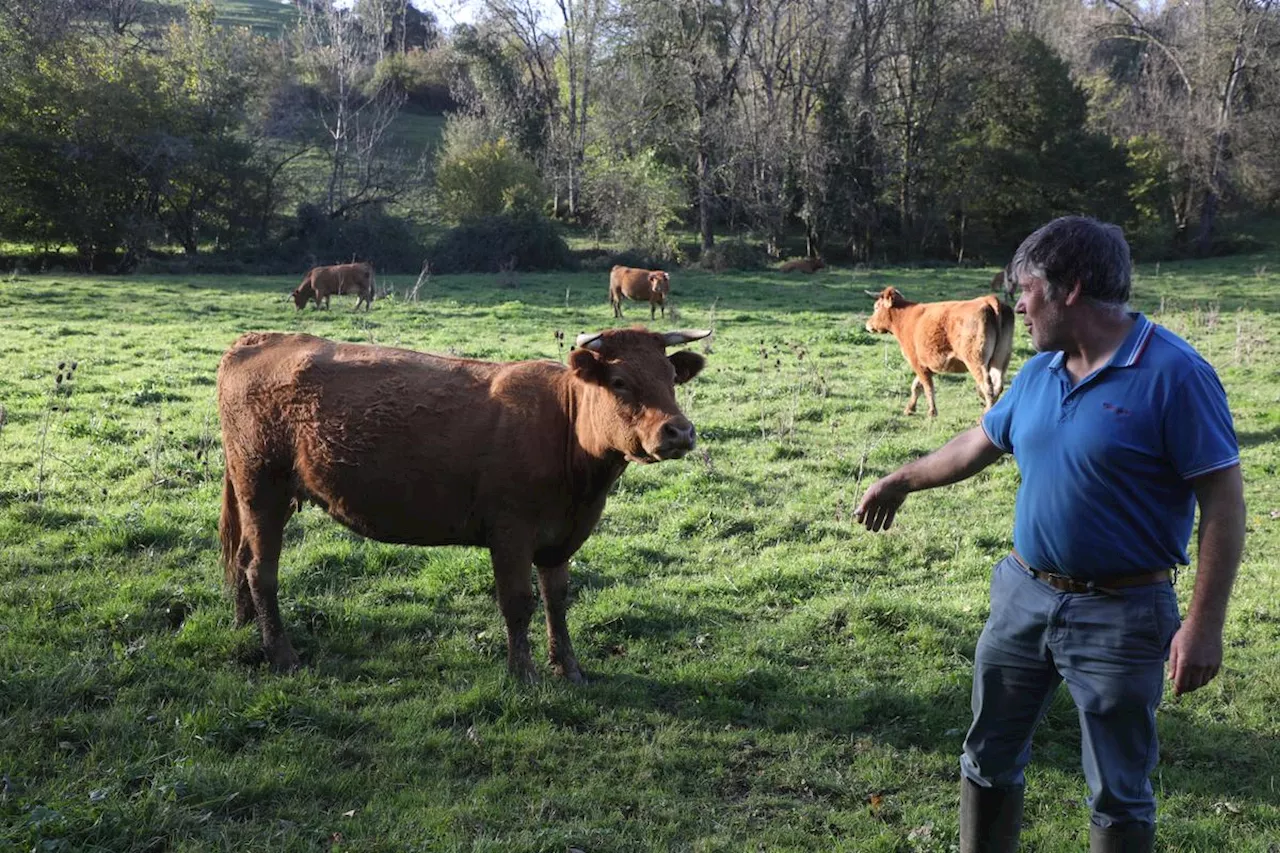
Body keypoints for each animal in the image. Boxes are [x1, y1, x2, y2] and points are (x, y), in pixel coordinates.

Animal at [221, 325, 716, 676]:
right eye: (618, 381)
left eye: (671, 377)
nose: (679, 431)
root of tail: (255, 339)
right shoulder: (511, 532)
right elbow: (517, 601)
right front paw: (523, 672)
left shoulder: (561, 538)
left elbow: (556, 599)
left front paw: (568, 667)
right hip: (261, 487)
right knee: (261, 570)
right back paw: (281, 654)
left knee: (243, 559)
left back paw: (246, 627)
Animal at [865, 286, 1013, 417]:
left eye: (876, 307)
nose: (867, 325)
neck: (905, 317)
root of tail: (988, 299)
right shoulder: (930, 364)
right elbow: (917, 386)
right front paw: (910, 408)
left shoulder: (917, 362)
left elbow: (928, 387)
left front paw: (931, 412)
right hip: (1001, 359)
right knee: (997, 385)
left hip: (975, 361)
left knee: (987, 386)